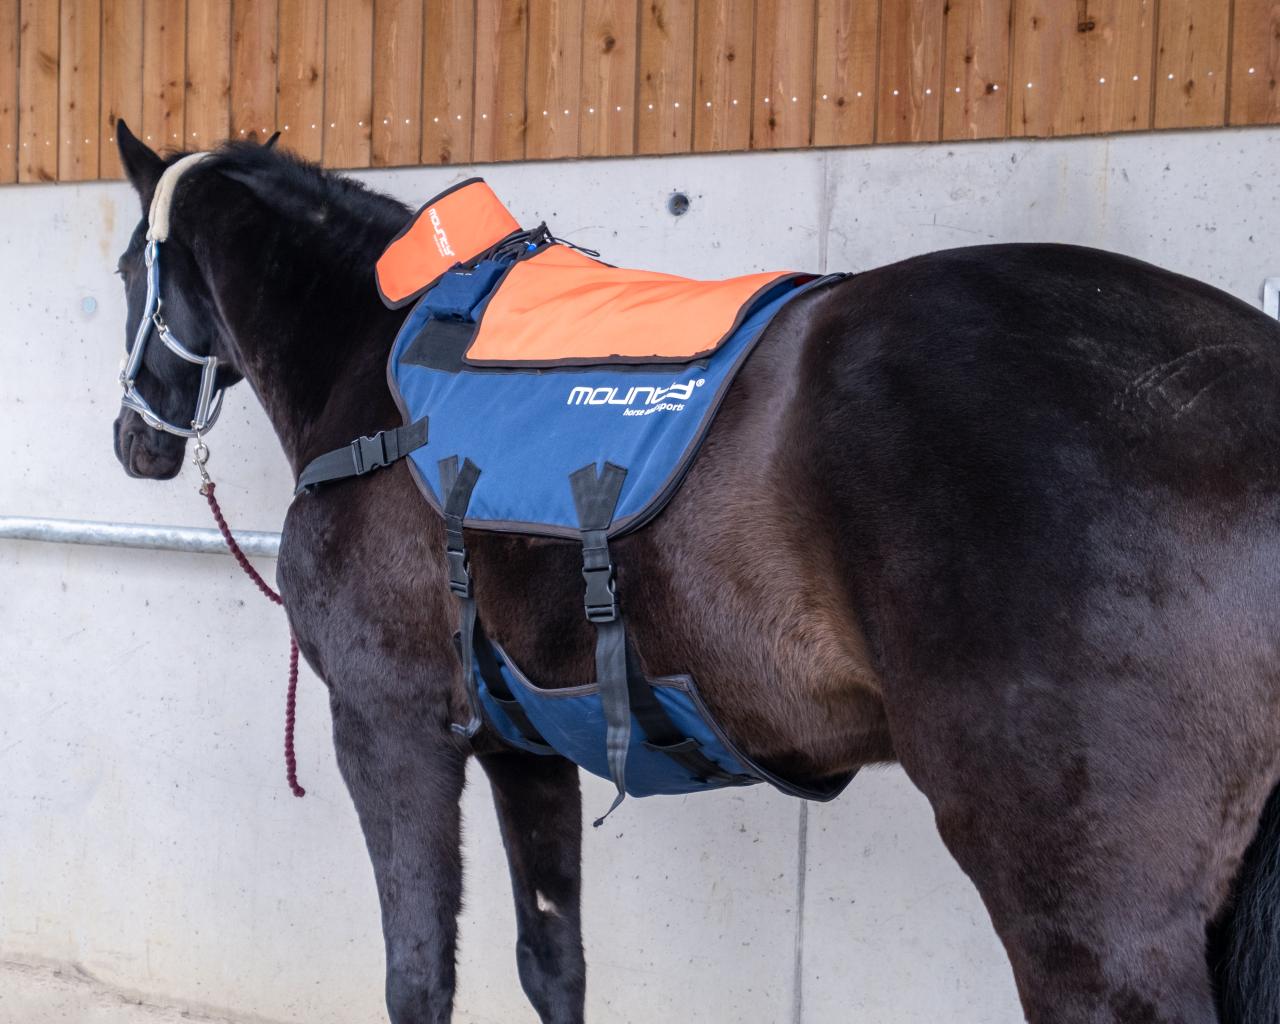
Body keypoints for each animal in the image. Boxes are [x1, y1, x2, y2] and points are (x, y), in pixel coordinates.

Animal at [107, 121, 1280, 1024]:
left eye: (126, 275)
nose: (134, 441)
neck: (378, 376)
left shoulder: (389, 729)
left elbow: (417, 979)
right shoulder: (522, 747)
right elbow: (552, 964)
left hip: (1084, 910)